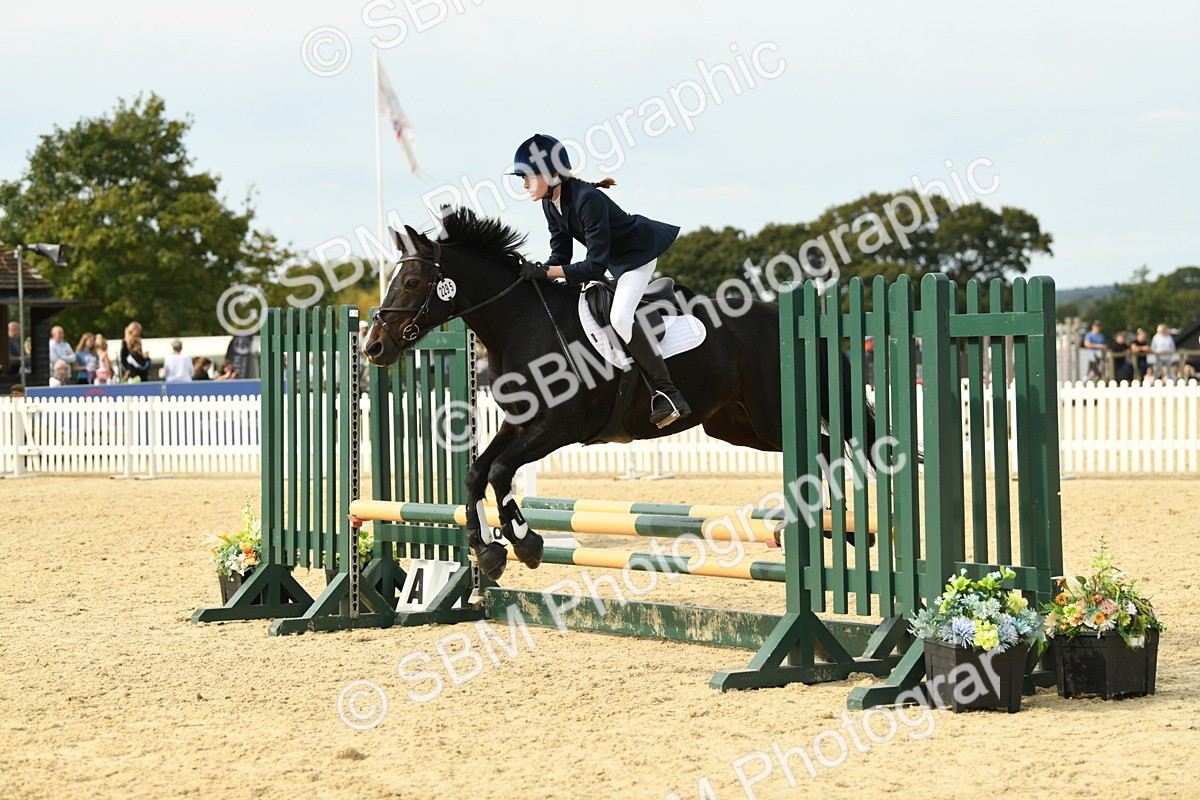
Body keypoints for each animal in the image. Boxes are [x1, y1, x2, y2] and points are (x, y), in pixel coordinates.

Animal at [362, 207, 874, 580]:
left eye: (411, 282)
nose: (373, 347)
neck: (521, 323)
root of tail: (788, 316)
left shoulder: (560, 426)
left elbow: (502, 471)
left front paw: (525, 541)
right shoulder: (520, 422)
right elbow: (477, 473)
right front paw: (487, 551)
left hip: (772, 416)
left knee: (826, 448)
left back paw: (839, 529)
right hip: (735, 424)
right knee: (821, 448)